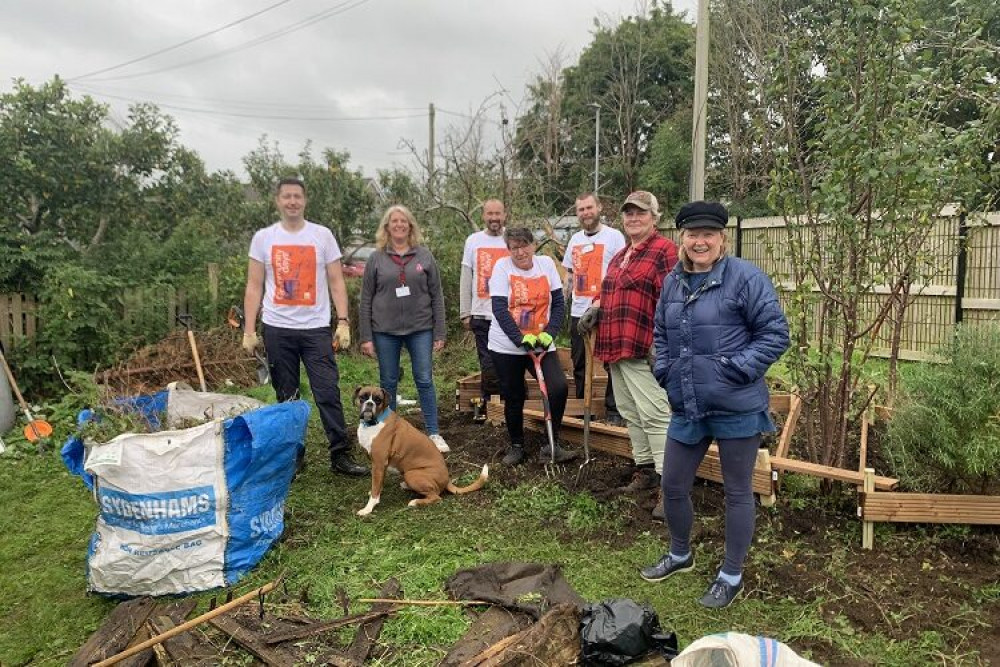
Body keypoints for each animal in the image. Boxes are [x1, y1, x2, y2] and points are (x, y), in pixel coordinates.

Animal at [356, 386, 488, 516]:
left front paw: (368, 508)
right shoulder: (380, 466)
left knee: (436, 496)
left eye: (378, 400)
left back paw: (415, 502)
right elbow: (378, 484)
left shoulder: (378, 464)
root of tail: (448, 479)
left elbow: (375, 489)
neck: (373, 423)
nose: (369, 403)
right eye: (363, 397)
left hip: (412, 474)